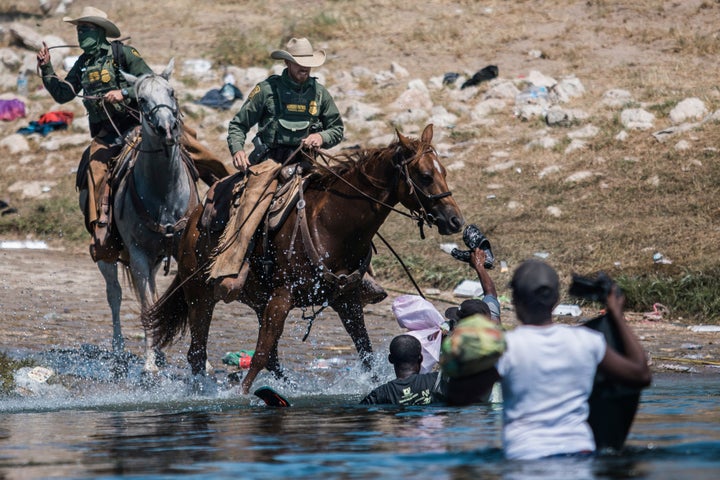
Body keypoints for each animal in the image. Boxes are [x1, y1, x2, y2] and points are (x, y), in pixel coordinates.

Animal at [98, 60, 200, 374]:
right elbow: (145, 307)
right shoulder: (139, 256)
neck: (164, 193)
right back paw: (120, 351)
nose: (167, 128)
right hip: (107, 255)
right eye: (142, 100)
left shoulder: (182, 250)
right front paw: (149, 365)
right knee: (114, 295)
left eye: (172, 92)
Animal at [145, 124, 462, 394]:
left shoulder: (346, 300)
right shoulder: (282, 297)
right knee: (198, 353)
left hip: (257, 300)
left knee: (269, 357)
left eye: (445, 172)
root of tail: (193, 221)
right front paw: (242, 395)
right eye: (425, 176)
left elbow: (365, 352)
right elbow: (260, 354)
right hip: (200, 295)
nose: (455, 220)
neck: (332, 225)